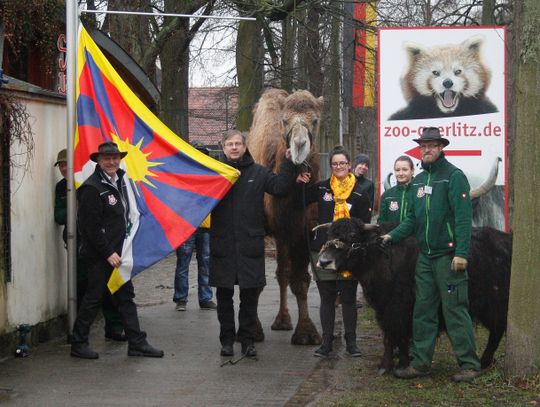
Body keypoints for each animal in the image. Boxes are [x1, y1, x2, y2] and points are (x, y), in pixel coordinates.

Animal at [247, 87, 322, 346]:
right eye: (285, 120)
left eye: (315, 120)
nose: (299, 144)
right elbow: (255, 280)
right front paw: (253, 331)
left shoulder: (303, 233)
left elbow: (301, 281)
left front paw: (307, 332)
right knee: (281, 273)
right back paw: (281, 320)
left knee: (284, 273)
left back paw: (283, 320)